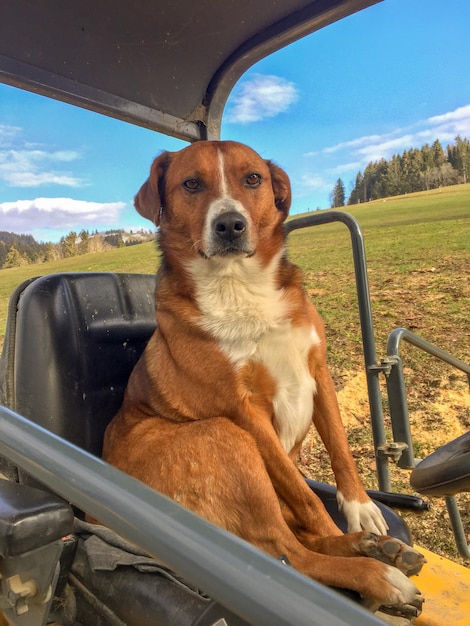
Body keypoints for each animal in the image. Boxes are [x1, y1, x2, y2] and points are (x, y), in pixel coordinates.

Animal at [103, 139, 426, 608]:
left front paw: (360, 508)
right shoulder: (244, 413)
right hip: (224, 437)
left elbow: (340, 450)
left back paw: (376, 549)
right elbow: (308, 500)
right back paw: (375, 574)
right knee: (288, 555)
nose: (230, 225)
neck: (239, 286)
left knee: (294, 540)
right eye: (191, 184)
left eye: (253, 178)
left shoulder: (317, 372)